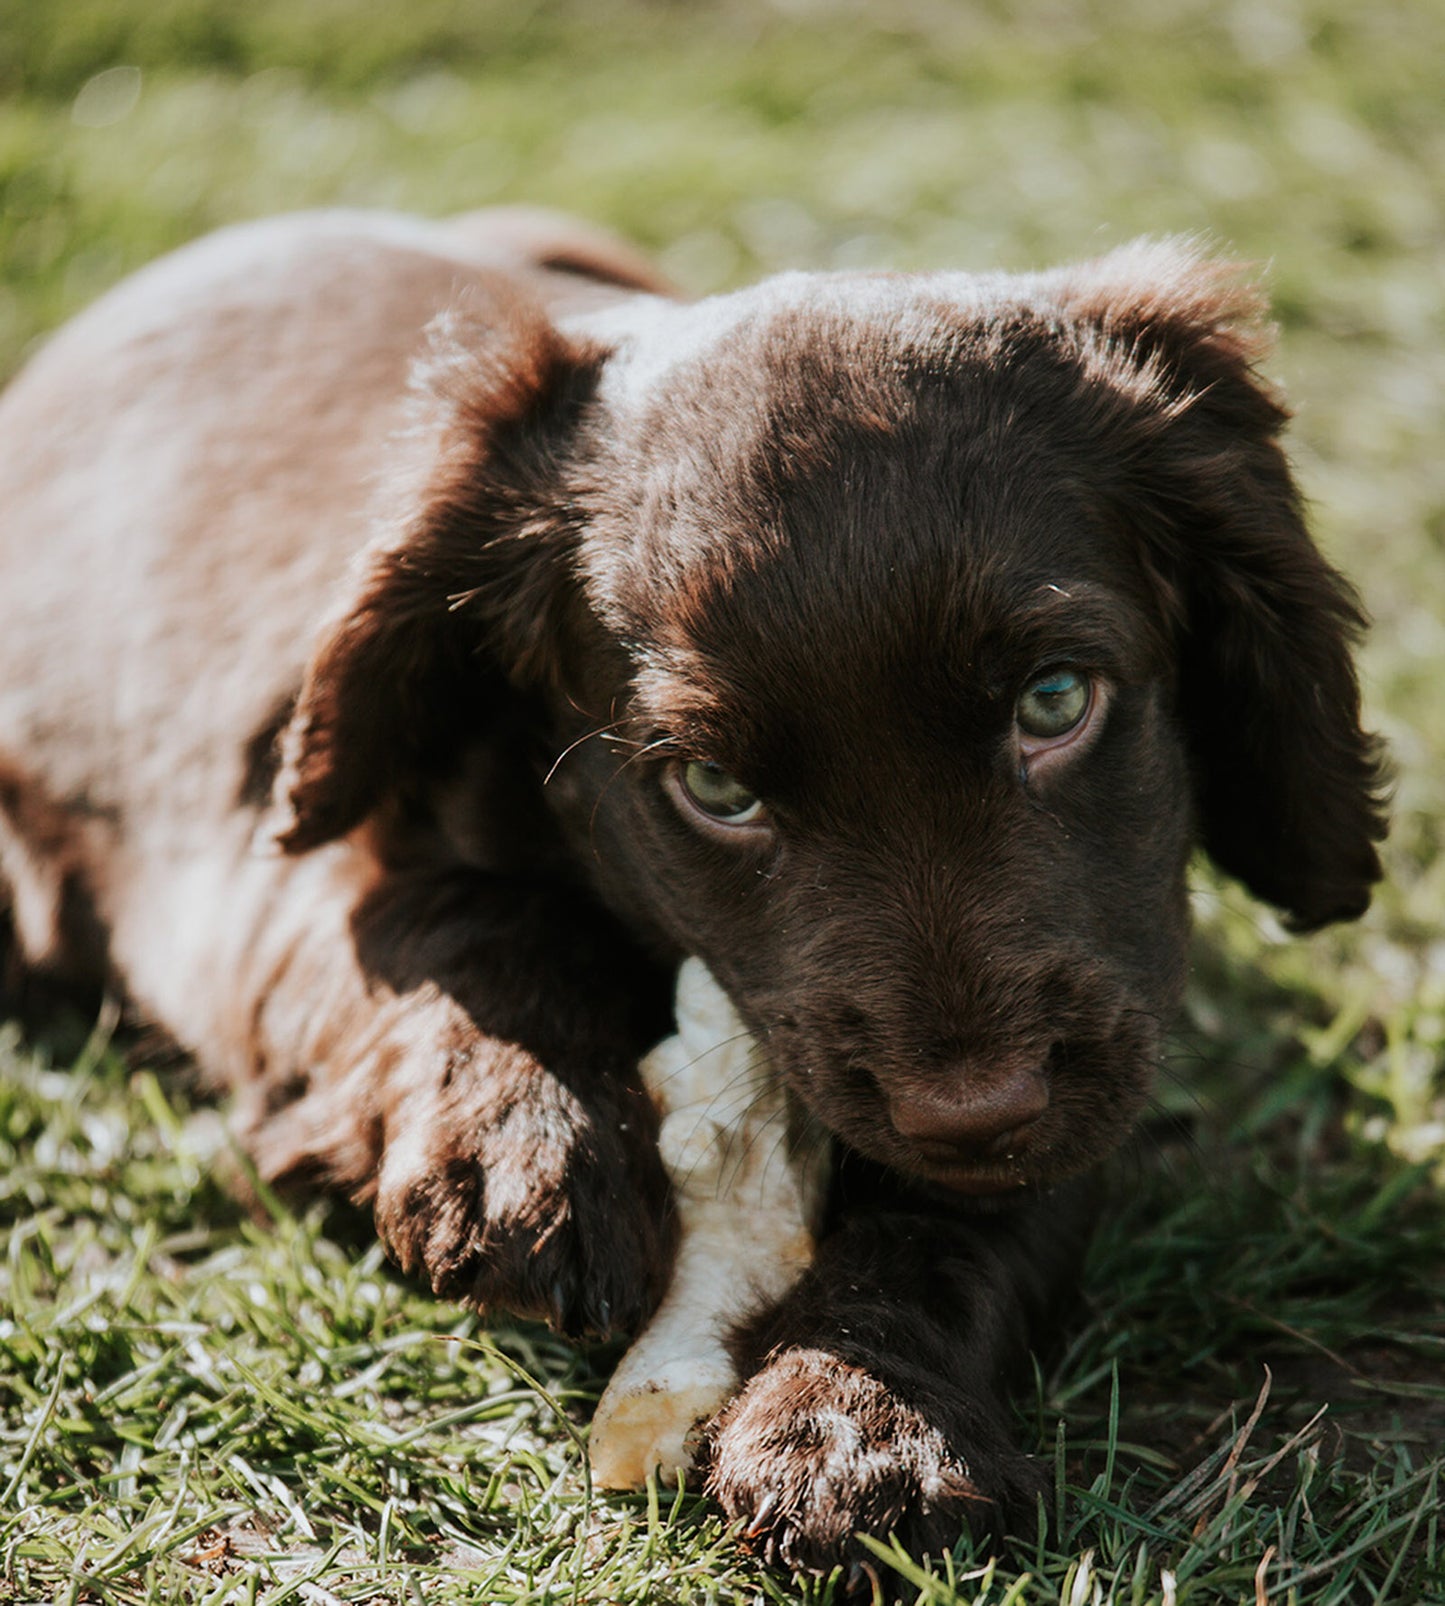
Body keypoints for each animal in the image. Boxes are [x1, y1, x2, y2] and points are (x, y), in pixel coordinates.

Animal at [0, 207, 1380, 1573]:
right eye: (714, 788)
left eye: (1054, 701)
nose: (970, 1108)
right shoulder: (274, 871)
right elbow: (456, 920)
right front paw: (528, 1142)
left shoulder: (1094, 1045)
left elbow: (969, 1220)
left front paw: (860, 1414)